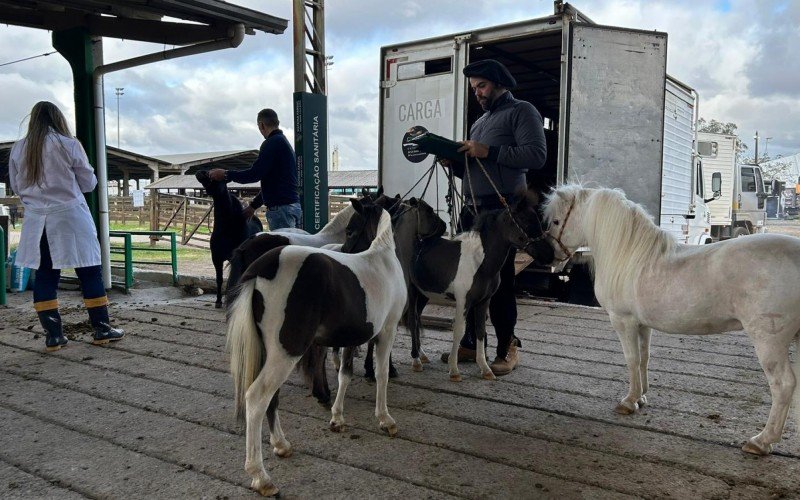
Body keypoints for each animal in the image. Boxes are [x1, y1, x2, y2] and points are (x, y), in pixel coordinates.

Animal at [196, 170, 262, 306]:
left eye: (216, 177)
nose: (200, 172)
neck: (227, 229)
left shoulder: (234, 258)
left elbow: (235, 279)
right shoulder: (216, 258)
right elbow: (219, 279)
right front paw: (218, 301)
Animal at [227, 199, 406, 496]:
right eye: (349, 229)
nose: (344, 250)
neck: (381, 256)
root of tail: (263, 266)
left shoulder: (351, 339)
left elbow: (345, 374)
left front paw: (337, 417)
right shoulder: (387, 331)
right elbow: (381, 374)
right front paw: (385, 420)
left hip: (272, 353)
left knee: (271, 398)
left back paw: (281, 445)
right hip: (286, 352)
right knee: (257, 397)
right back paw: (261, 477)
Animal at [544, 185, 800, 458]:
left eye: (557, 221)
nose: (550, 255)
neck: (629, 256)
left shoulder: (623, 321)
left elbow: (631, 360)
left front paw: (629, 401)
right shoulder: (642, 325)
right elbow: (643, 359)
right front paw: (641, 397)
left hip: (768, 341)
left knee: (783, 385)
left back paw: (761, 441)